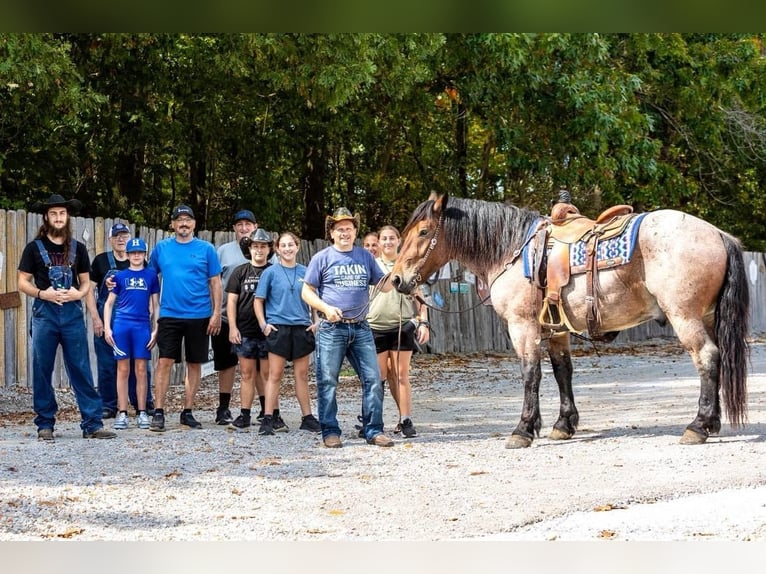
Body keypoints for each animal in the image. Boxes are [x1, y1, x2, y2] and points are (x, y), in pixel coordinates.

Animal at [390, 192, 750, 448]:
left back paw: (698, 426)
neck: (511, 250)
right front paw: (563, 425)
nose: (396, 279)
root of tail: (719, 234)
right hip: (706, 316)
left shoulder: (523, 326)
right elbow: (563, 372)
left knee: (707, 358)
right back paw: (712, 422)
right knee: (717, 359)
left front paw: (523, 429)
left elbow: (531, 374)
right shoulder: (556, 330)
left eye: (423, 231)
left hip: (685, 316)